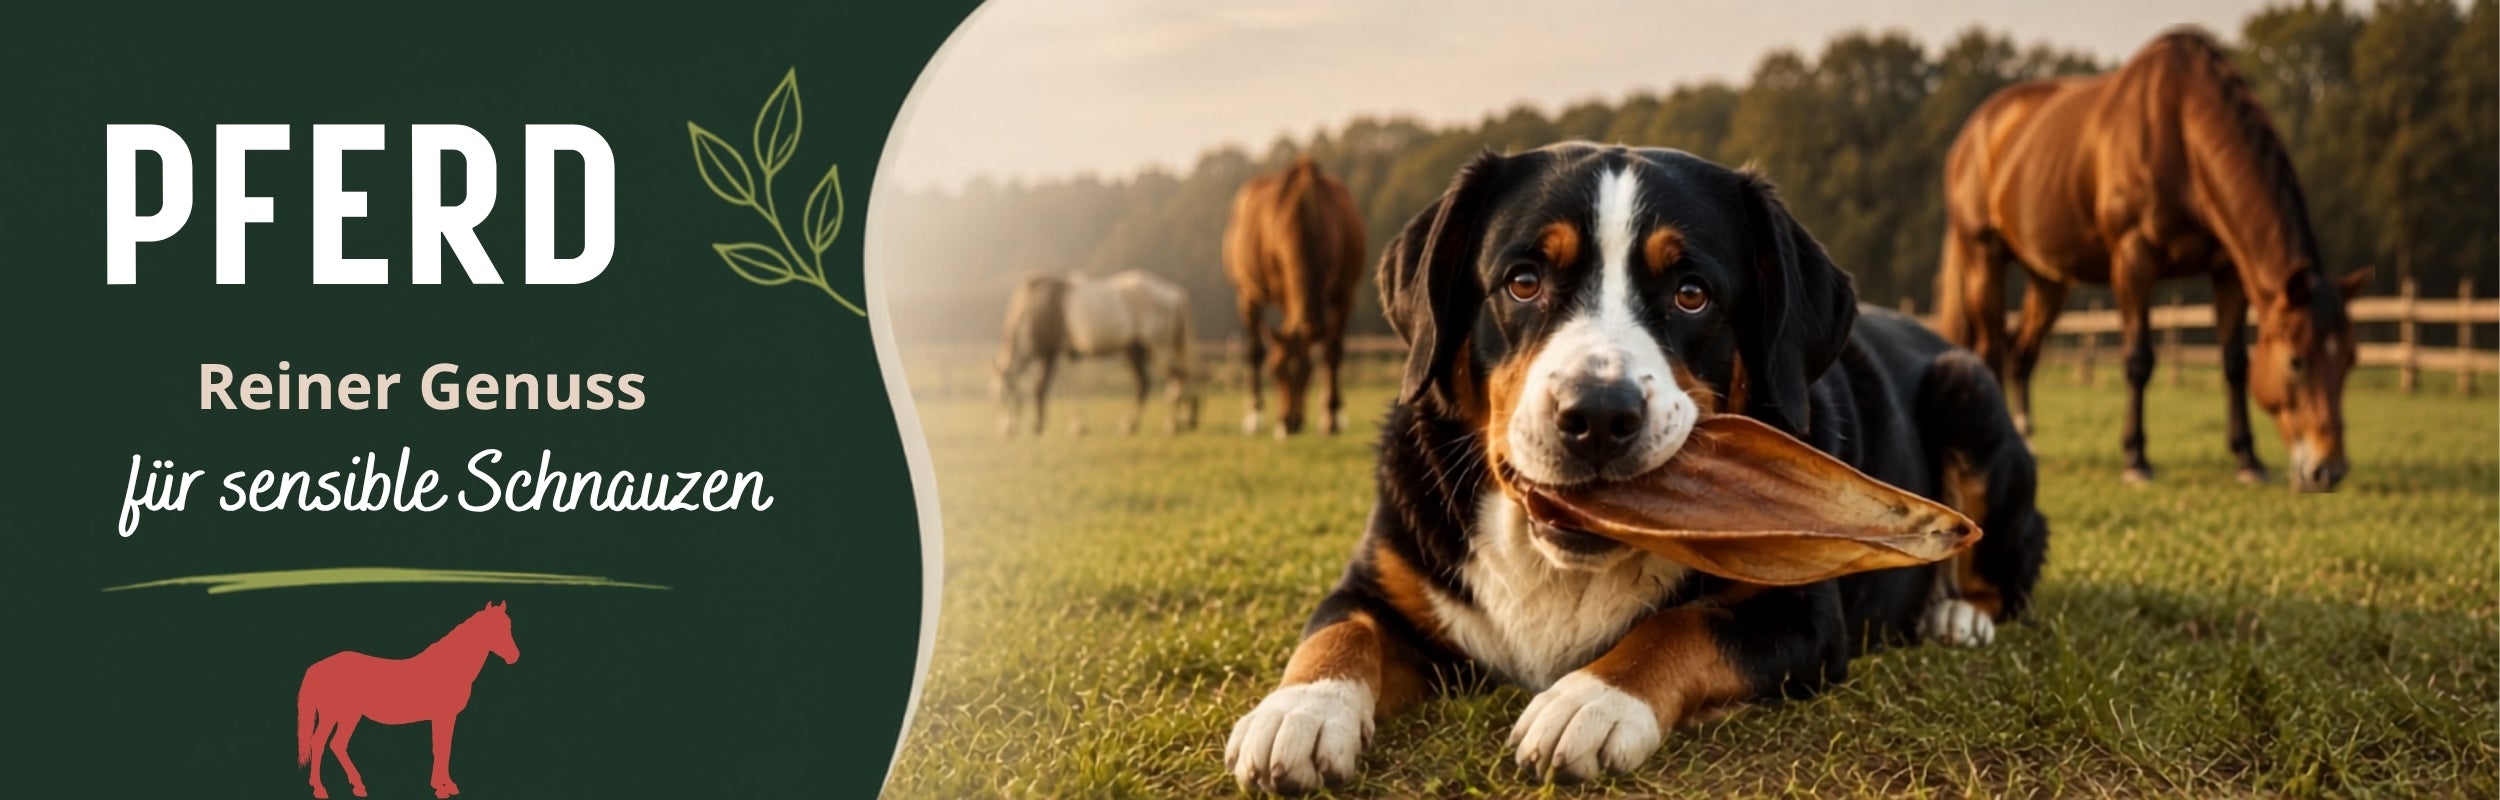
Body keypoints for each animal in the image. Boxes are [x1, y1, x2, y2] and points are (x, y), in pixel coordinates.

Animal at [298, 602, 520, 799]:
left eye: (509, 626)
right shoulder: (442, 716)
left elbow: (446, 748)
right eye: (495, 628)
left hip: (348, 716)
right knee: (320, 743)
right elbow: (440, 748)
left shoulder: (449, 717)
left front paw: (449, 786)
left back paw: (357, 786)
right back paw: (321, 789)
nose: (515, 657)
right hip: (333, 715)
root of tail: (317, 668)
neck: (449, 666)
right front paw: (440, 788)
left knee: (336, 744)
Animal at [992, 270, 1200, 436]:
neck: (1031, 307)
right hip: (1134, 350)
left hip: (1157, 346)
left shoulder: (1047, 351)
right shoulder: (1066, 354)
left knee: (1176, 377)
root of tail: (1171, 293)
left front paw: (1038, 426)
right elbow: (1069, 386)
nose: (1006, 431)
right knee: (1147, 383)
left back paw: (1172, 424)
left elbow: (1040, 387)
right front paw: (1078, 426)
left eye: (1003, 398)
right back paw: (1136, 424)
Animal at [1221, 156, 1365, 437]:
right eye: (1276, 371)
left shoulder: (1345, 293)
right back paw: (1255, 415)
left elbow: (1332, 351)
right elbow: (1260, 350)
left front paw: (1331, 416)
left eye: (1308, 373)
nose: (1289, 423)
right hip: (1248, 293)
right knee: (1254, 348)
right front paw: (1259, 417)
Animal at [1935, 28, 2368, 492]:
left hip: (2048, 279)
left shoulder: (2227, 270)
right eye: (2295, 360)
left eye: (2350, 358)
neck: (2181, 132)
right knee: (1990, 350)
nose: (2327, 470)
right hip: (1984, 256)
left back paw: (2026, 440)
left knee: (2022, 353)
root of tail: (1976, 131)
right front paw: (2136, 459)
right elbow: (2139, 360)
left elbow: (2234, 362)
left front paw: (2248, 460)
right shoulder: (2134, 260)